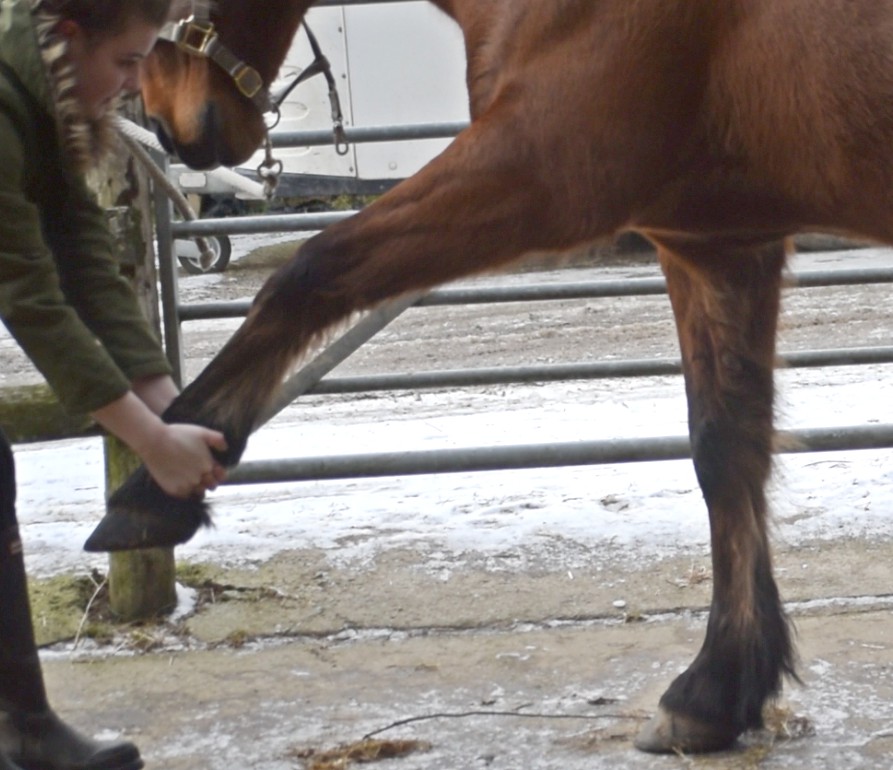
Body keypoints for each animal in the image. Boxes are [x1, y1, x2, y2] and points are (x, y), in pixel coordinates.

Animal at [89, 0, 893, 755]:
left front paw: (155, 488)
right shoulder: (717, 246)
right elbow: (726, 452)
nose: (166, 122)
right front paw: (716, 692)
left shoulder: (537, 173)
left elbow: (313, 270)